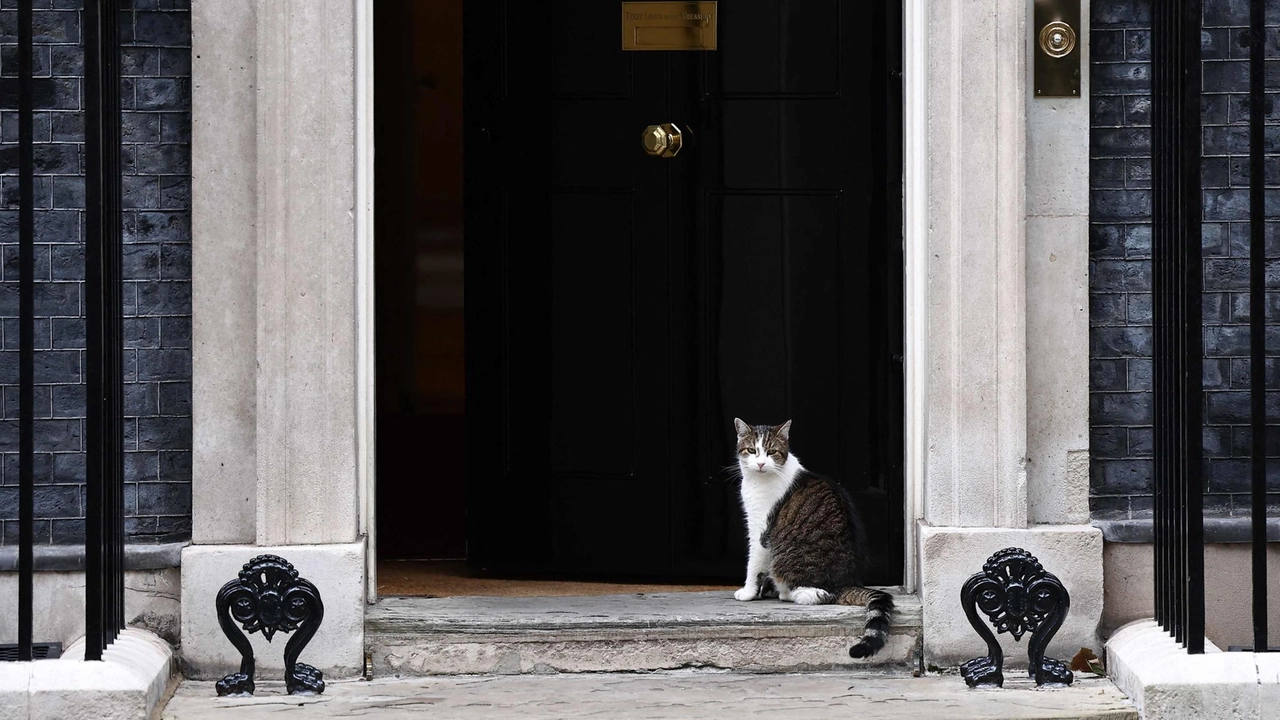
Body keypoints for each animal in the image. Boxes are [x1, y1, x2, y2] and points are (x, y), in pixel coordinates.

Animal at [737, 415, 896, 655]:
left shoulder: (760, 531)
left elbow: (752, 565)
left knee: (819, 594)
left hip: (787, 561)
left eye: (772, 451)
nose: (761, 464)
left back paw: (788, 593)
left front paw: (747, 592)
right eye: (751, 450)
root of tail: (846, 582)